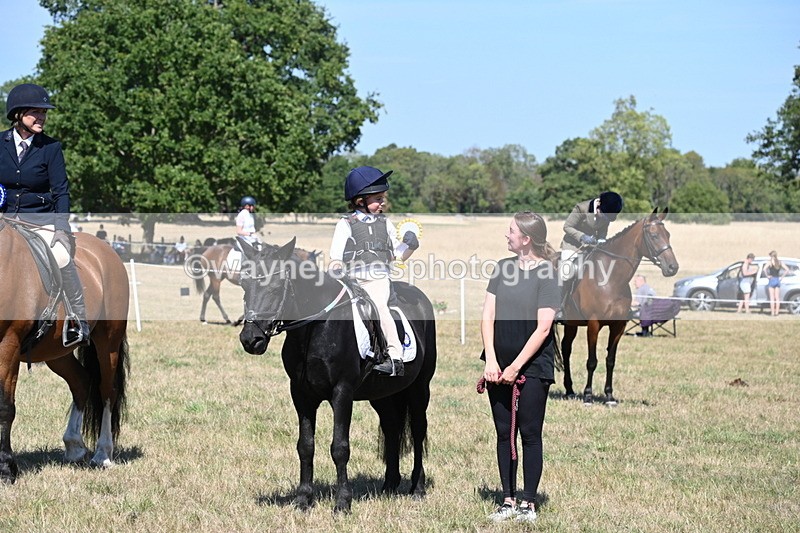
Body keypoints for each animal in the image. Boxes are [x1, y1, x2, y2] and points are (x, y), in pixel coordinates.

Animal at [0, 220, 129, 483]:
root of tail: (107, 250)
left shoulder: (9, 344)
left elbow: (5, 407)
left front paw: (6, 468)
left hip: (108, 343)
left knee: (107, 391)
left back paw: (103, 454)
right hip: (57, 353)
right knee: (80, 381)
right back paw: (74, 446)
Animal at [189, 240, 320, 324]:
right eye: (310, 263)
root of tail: (207, 250)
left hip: (217, 278)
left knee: (207, 294)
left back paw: (204, 318)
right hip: (216, 278)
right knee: (215, 296)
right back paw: (226, 319)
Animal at [238, 238, 437, 513]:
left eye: (276, 287)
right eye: (245, 285)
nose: (251, 339)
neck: (316, 327)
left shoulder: (341, 393)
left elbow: (340, 447)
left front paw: (343, 502)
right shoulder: (301, 395)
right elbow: (305, 446)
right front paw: (303, 499)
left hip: (419, 388)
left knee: (418, 430)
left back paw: (417, 487)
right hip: (382, 395)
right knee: (391, 428)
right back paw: (389, 486)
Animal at [560, 207, 679, 406]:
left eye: (668, 235)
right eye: (654, 235)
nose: (672, 267)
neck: (610, 278)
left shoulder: (618, 326)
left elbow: (610, 360)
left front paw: (609, 396)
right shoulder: (593, 324)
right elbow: (592, 361)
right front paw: (588, 396)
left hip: (571, 323)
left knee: (566, 349)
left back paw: (569, 390)